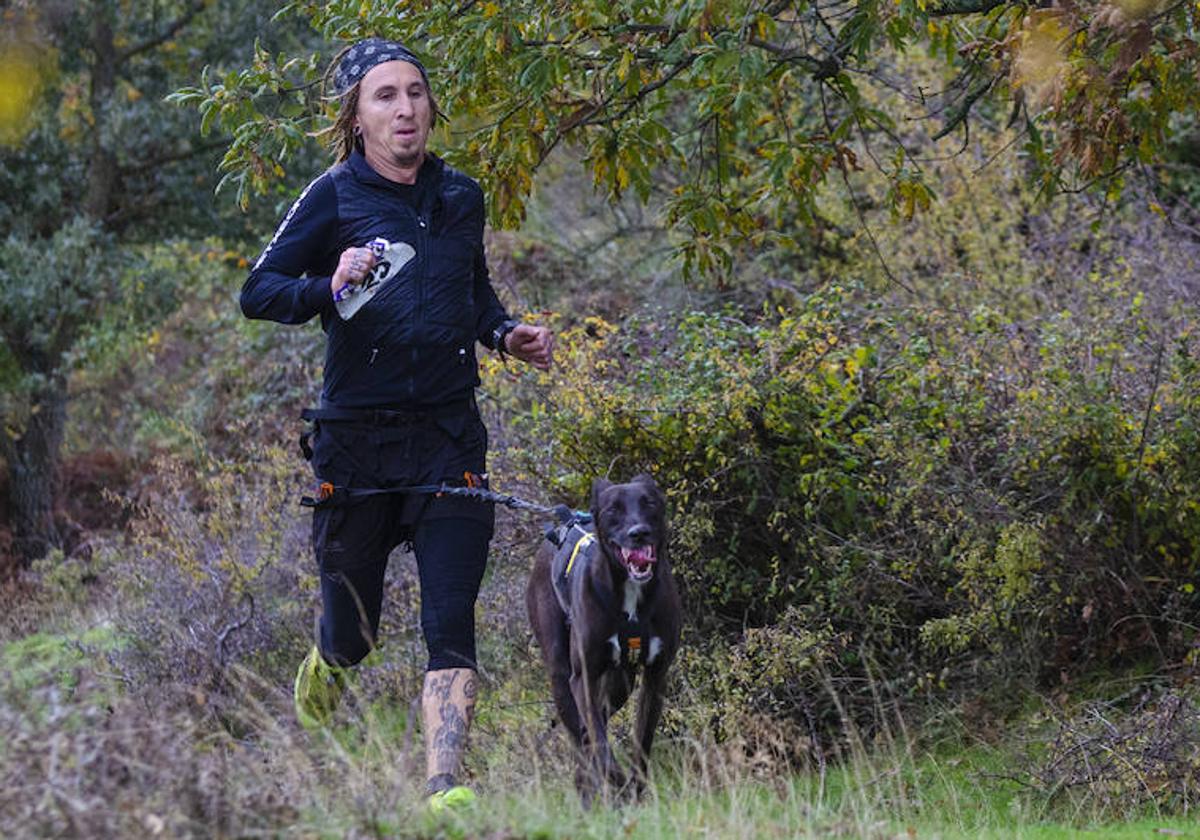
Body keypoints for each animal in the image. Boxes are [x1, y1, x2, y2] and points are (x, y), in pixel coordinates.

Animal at [523, 475, 681, 801]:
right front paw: (617, 787)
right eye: (613, 510)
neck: (632, 595)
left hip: (621, 682)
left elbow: (642, 742)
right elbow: (597, 741)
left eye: (649, 502)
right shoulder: (583, 677)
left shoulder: (655, 676)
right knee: (582, 737)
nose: (639, 533)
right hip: (561, 675)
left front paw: (634, 791)